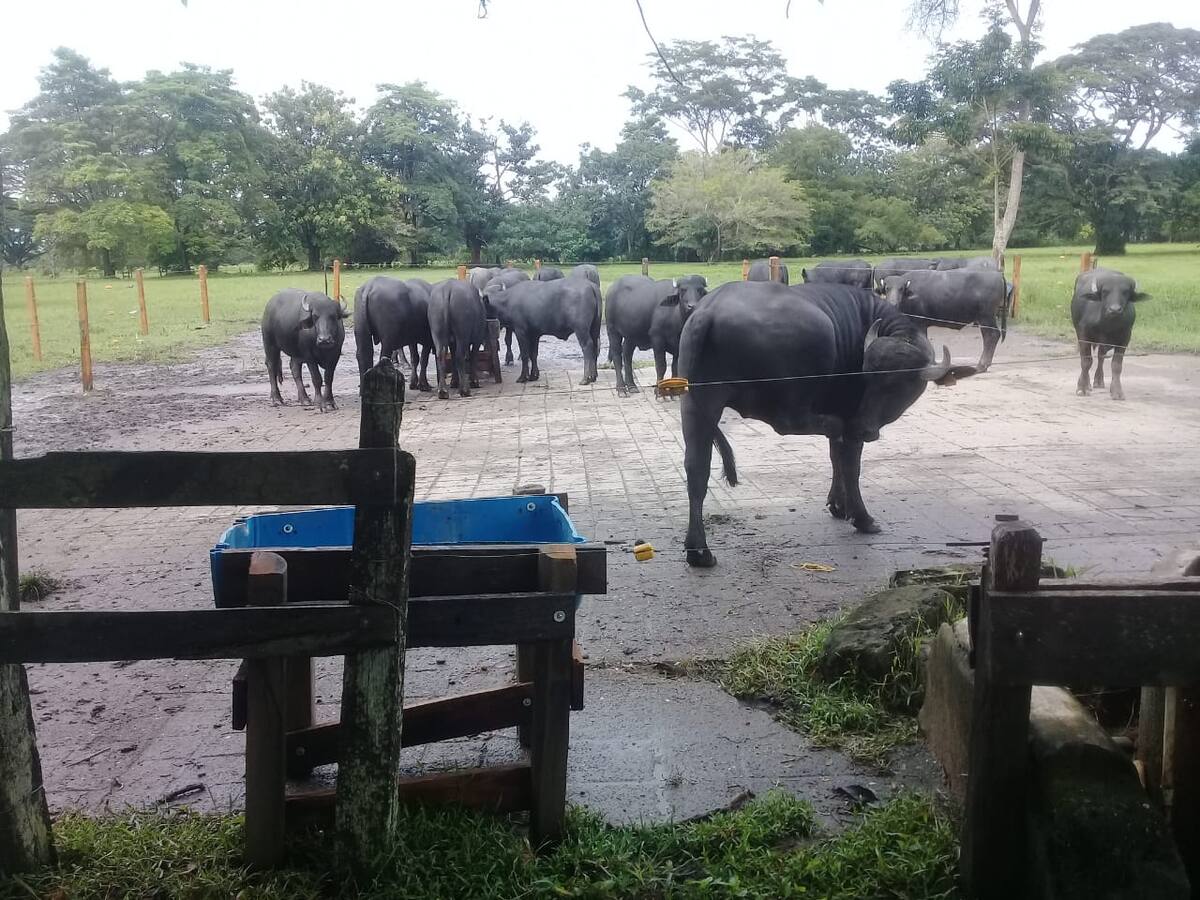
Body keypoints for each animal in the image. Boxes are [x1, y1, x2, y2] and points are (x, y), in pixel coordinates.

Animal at [677, 282, 975, 567]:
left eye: (899, 385)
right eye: (869, 377)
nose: (864, 427)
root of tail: (708, 311)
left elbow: (835, 457)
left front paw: (838, 504)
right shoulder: (850, 415)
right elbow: (850, 465)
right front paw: (861, 517)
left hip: (697, 403)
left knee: (697, 468)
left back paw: (699, 551)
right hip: (806, 367)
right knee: (792, 423)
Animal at [1072, 267, 1148, 401]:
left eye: (1125, 292)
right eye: (1105, 291)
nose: (1115, 309)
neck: (1107, 325)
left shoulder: (1125, 338)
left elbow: (1116, 365)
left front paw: (1117, 391)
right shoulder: (1083, 334)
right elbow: (1086, 361)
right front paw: (1082, 388)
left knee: (1101, 357)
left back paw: (1098, 381)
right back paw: (1088, 384)